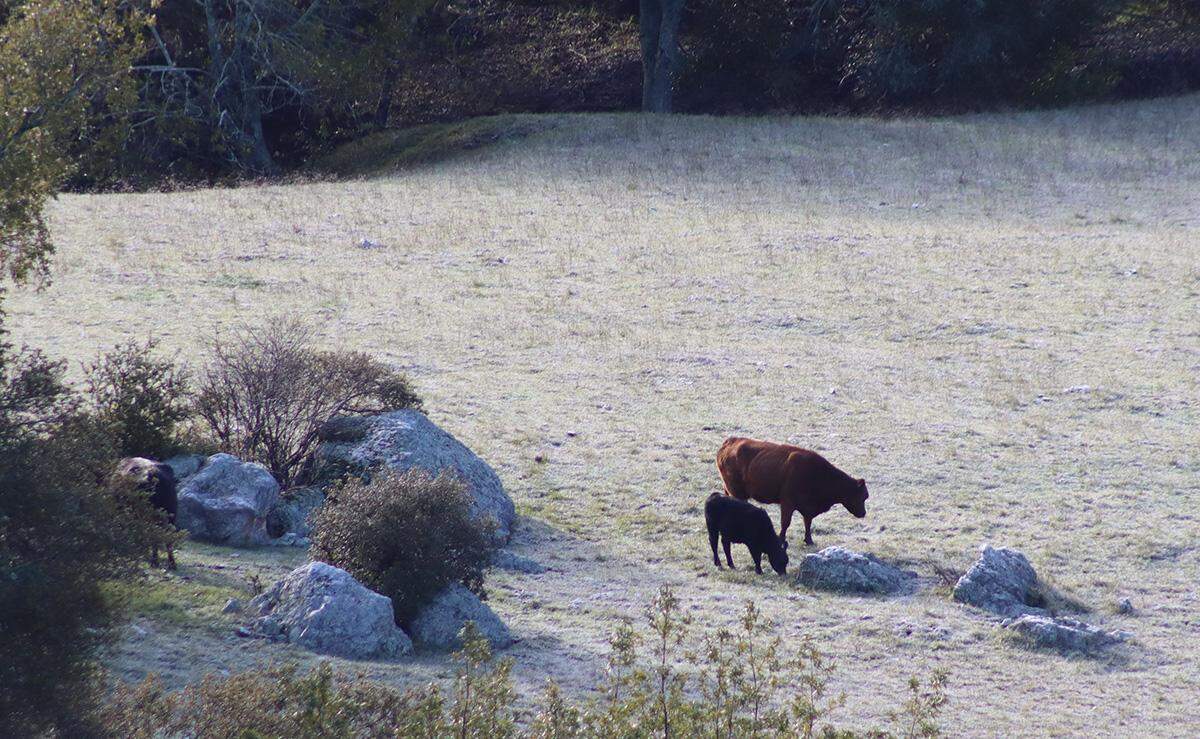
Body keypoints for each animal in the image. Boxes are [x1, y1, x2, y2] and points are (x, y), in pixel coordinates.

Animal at [716, 437, 868, 547]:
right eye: (862, 496)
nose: (863, 513)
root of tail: (730, 441)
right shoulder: (788, 503)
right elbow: (786, 523)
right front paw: (781, 540)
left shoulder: (807, 508)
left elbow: (808, 522)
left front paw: (809, 540)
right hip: (737, 493)